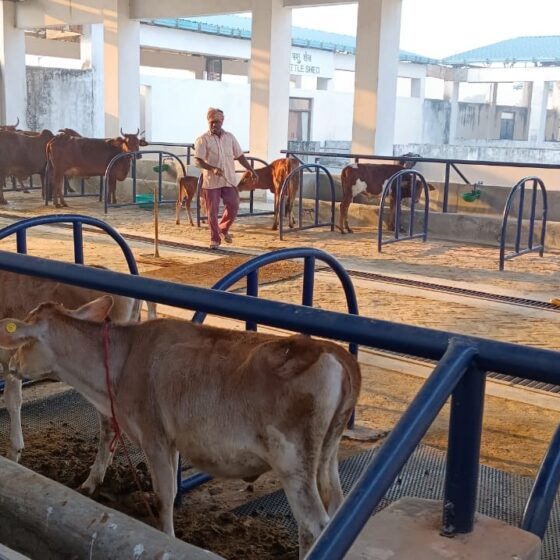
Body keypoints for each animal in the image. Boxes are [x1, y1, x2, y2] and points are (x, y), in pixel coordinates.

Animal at [0, 295, 361, 557]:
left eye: (24, 342)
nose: (13, 365)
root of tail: (334, 353)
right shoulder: (169, 440)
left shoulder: (155, 436)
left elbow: (164, 496)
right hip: (325, 457)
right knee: (335, 506)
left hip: (292, 463)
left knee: (314, 525)